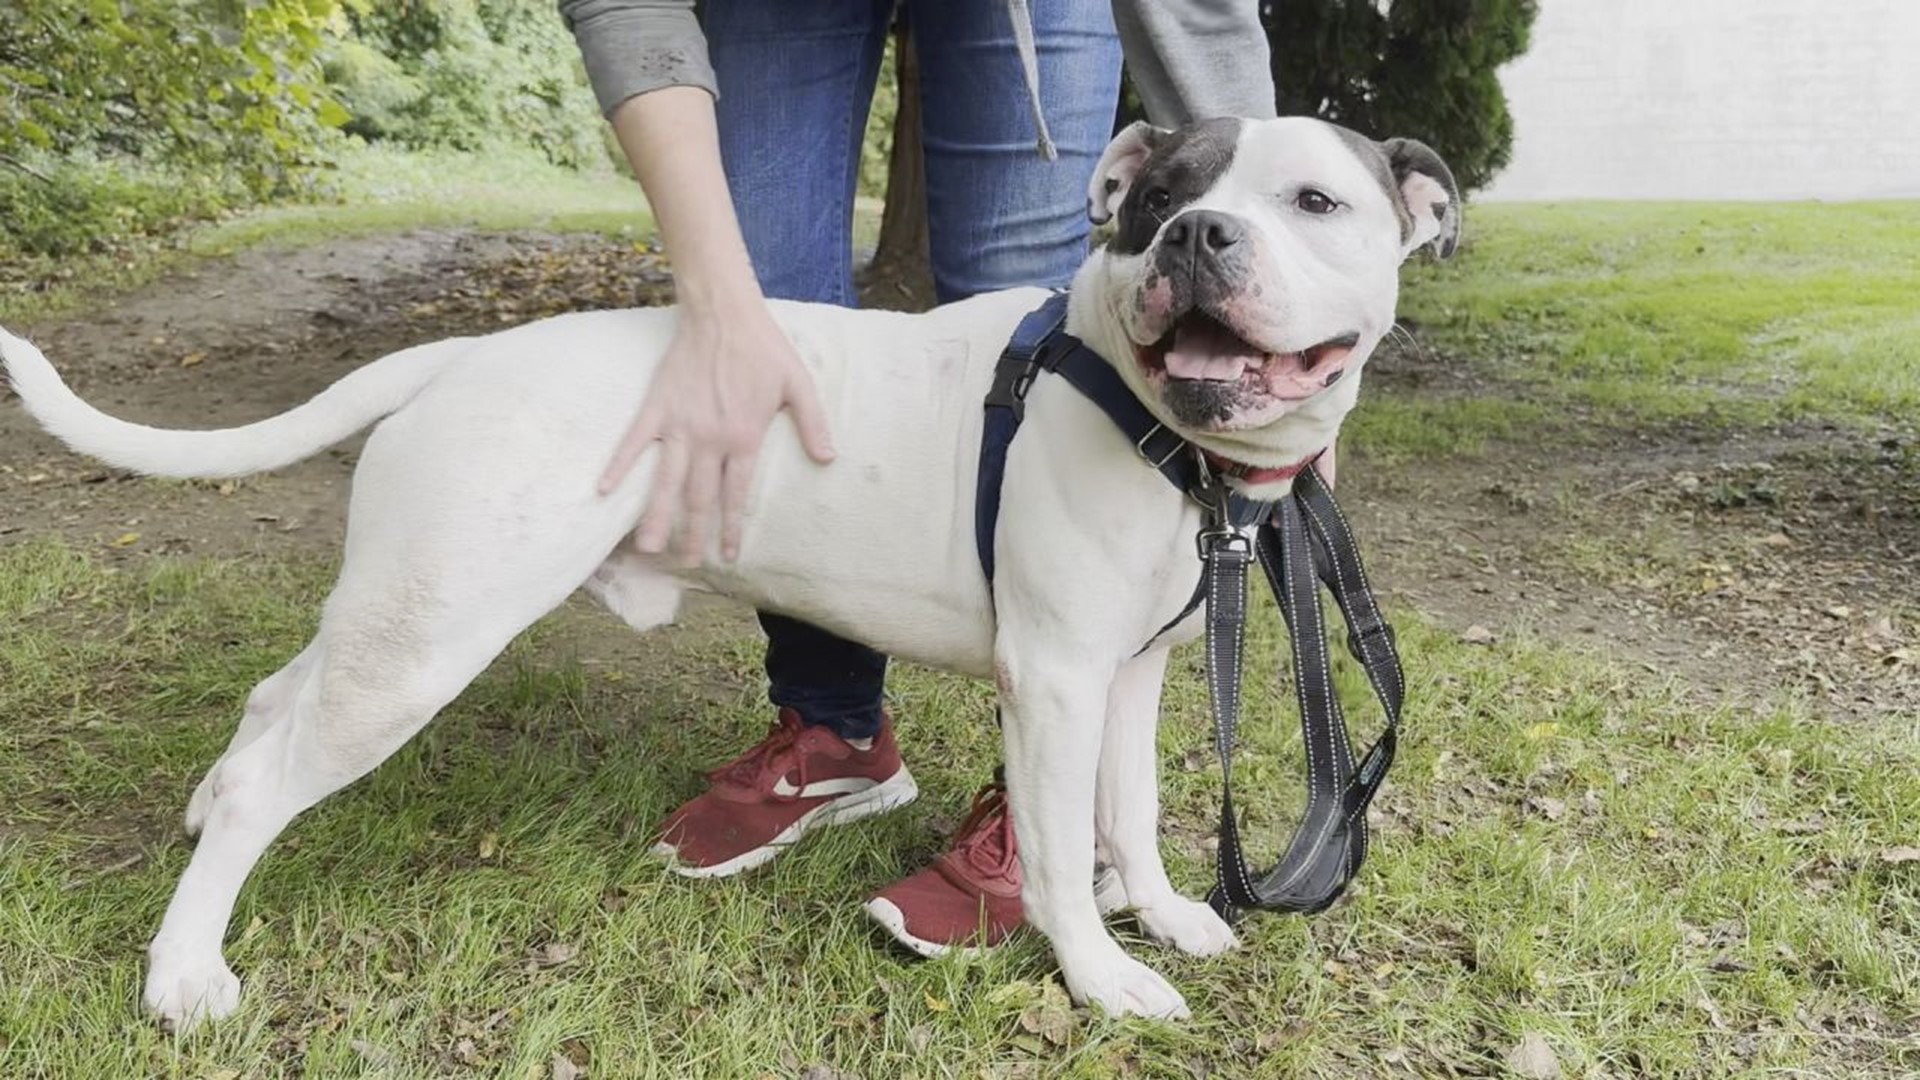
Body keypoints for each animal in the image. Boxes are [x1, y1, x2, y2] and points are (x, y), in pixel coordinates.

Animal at [3, 115, 1451, 1022]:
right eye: (1154, 201)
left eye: (1314, 201)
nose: (1194, 235)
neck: (1160, 431)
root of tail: (463, 355)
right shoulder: (1051, 682)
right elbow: (1053, 851)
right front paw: (1101, 979)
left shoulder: (1132, 677)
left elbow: (1132, 818)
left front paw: (1164, 916)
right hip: (423, 643)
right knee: (273, 777)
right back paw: (183, 970)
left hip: (397, 610)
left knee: (269, 707)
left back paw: (202, 826)